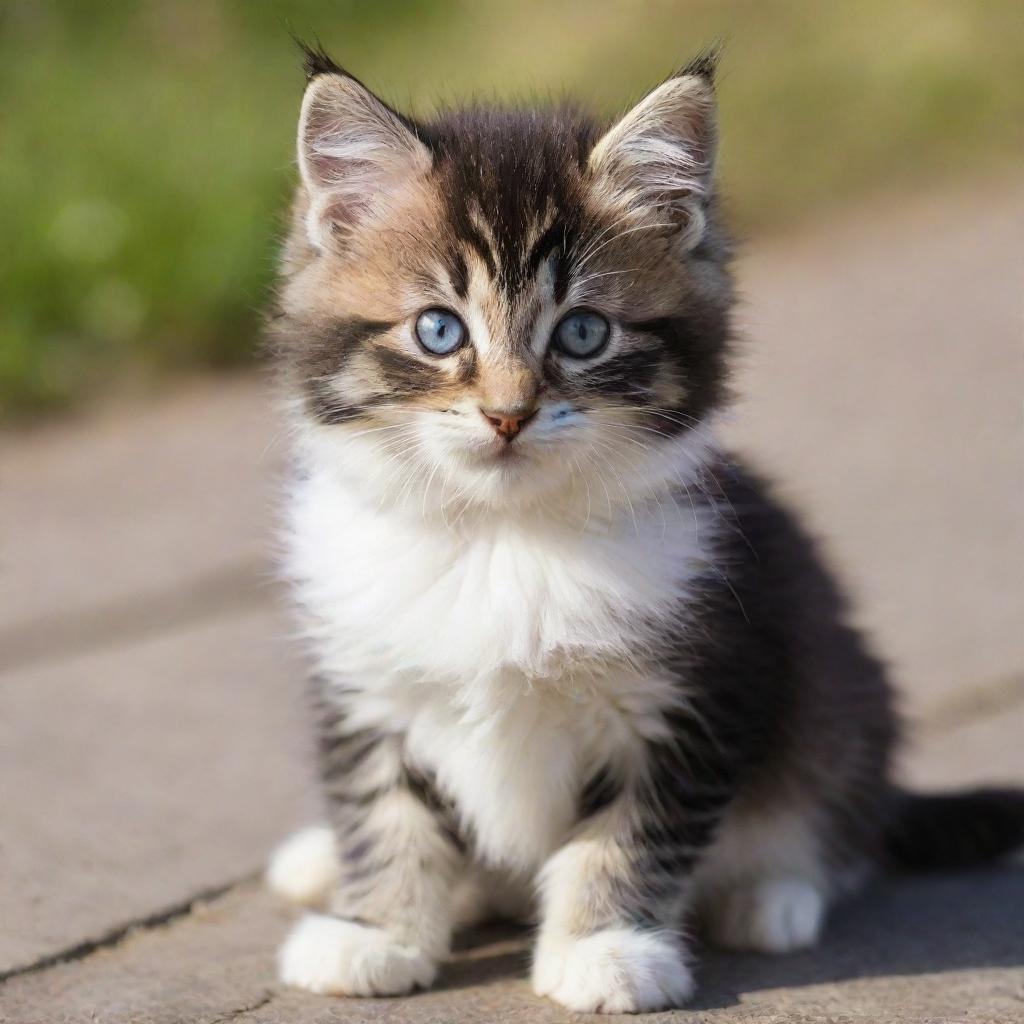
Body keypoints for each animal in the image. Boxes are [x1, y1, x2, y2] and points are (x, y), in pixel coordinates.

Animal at [266, 48, 1024, 1015]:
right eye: (439, 330)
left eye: (584, 333)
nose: (507, 415)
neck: (504, 538)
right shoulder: (364, 681)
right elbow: (384, 813)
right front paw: (378, 930)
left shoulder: (697, 687)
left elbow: (626, 836)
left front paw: (605, 949)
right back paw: (321, 861)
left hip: (841, 694)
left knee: (835, 812)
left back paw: (772, 894)